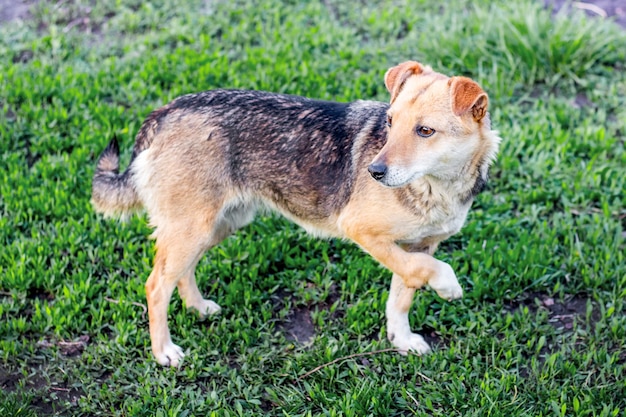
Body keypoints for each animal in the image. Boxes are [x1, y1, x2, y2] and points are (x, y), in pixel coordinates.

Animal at [91, 60, 498, 366]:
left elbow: (403, 294)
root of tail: (164, 112)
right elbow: (425, 271)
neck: (438, 185)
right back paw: (164, 352)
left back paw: (198, 307)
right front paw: (448, 286)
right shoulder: (364, 231)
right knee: (156, 285)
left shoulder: (418, 245)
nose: (374, 172)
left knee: (180, 272)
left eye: (425, 131)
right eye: (390, 122)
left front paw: (402, 339)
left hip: (214, 226)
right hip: (193, 227)